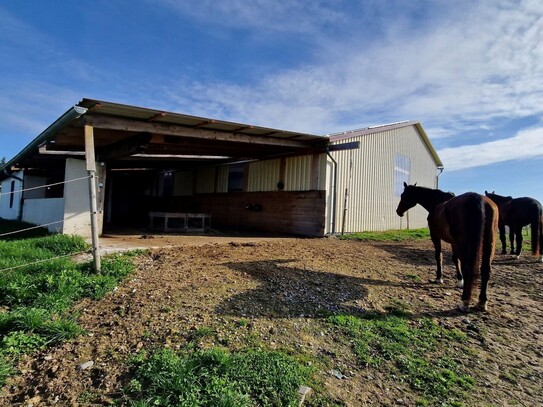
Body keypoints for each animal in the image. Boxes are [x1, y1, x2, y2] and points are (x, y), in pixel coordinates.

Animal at [396, 183, 498, 314]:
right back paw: (482, 302)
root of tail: (478, 200)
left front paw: (439, 278)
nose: (398, 211)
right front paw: (459, 280)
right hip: (489, 243)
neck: (436, 202)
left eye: (403, 195)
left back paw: (464, 302)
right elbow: (455, 259)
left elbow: (439, 256)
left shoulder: (435, 236)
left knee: (468, 269)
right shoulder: (453, 242)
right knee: (485, 270)